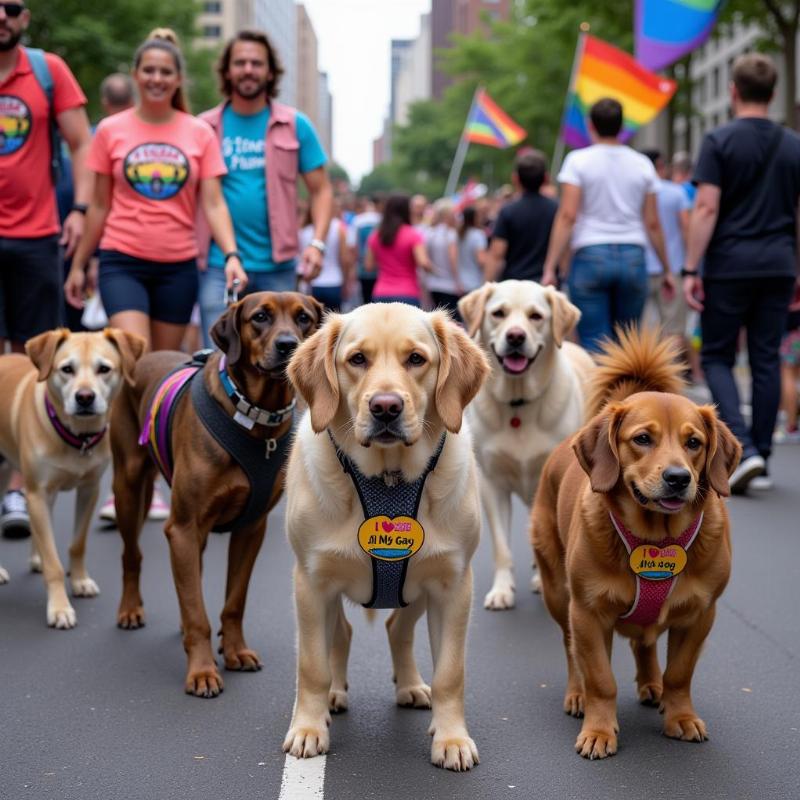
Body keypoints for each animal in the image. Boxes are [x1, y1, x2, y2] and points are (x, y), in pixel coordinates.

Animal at [0, 328, 145, 628]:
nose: (85, 397)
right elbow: (54, 564)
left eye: (104, 369)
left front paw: (79, 581)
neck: (77, 435)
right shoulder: (38, 492)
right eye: (67, 369)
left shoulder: (88, 490)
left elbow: (77, 544)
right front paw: (59, 607)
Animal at [109, 292, 322, 692]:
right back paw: (130, 609)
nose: (288, 345)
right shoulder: (183, 527)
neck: (258, 417)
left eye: (303, 318)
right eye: (260, 317)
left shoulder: (250, 529)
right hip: (128, 488)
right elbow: (197, 613)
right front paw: (203, 671)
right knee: (132, 554)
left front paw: (236, 651)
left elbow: (232, 602)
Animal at [284, 304, 490, 772]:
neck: (389, 480)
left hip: (416, 589)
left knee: (398, 627)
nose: (385, 407)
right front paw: (308, 727)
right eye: (357, 359)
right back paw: (333, 696)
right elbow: (312, 667)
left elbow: (451, 673)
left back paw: (411, 686)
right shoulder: (311, 584)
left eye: (416, 359)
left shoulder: (454, 585)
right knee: (340, 635)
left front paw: (451, 737)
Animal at [456, 278, 592, 608]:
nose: (515, 336)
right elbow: (502, 547)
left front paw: (545, 582)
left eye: (536, 316)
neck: (518, 403)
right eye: (498, 313)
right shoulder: (492, 483)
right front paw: (502, 590)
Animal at [528, 328, 740, 760]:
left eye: (694, 442)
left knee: (646, 645)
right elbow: (600, 678)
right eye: (642, 439)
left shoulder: (700, 615)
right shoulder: (588, 615)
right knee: (571, 649)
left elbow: (679, 674)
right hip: (558, 595)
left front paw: (680, 716)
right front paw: (599, 729)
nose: (678, 477)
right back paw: (577, 693)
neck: (657, 538)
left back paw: (652, 684)